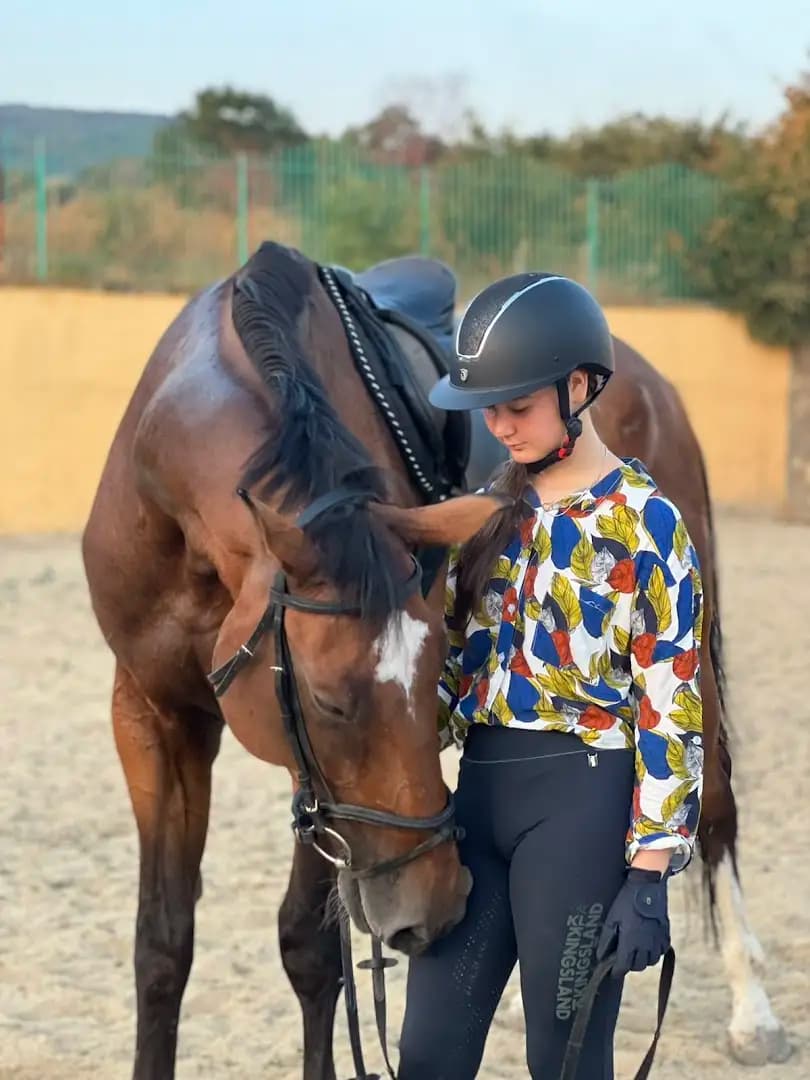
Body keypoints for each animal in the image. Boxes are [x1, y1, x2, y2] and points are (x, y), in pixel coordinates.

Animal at [82, 240, 787, 1078]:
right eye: (329, 703)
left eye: (431, 682)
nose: (440, 909)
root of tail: (651, 381)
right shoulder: (152, 714)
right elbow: (163, 948)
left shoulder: (302, 773)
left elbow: (308, 950)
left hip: (686, 656)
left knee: (710, 811)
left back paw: (754, 1012)